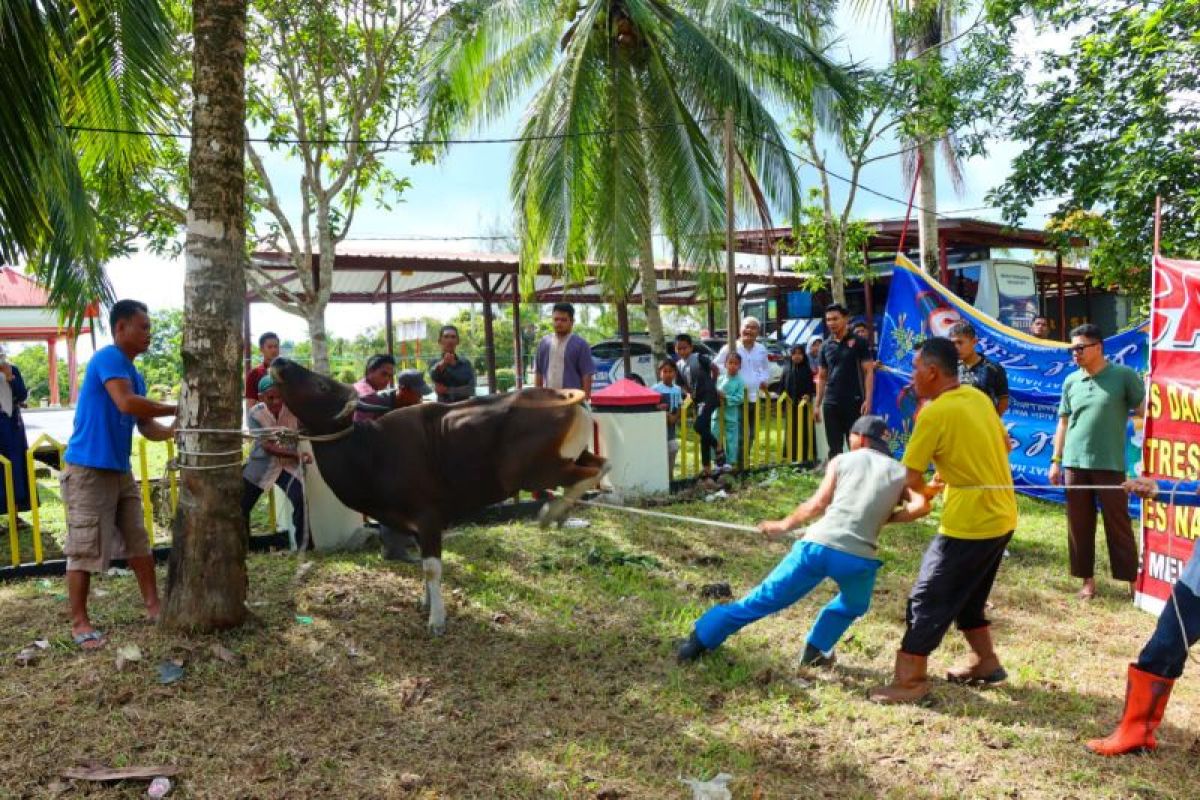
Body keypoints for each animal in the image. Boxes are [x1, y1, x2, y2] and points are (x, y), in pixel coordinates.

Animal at [272, 359, 609, 633]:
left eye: (321, 385)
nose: (279, 362)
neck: (372, 449)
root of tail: (563, 396)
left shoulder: (428, 518)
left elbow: (431, 568)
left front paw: (437, 619)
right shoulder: (415, 527)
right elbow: (424, 565)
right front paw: (426, 602)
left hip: (533, 471)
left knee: (591, 473)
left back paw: (553, 512)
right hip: (568, 457)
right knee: (601, 464)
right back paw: (560, 511)